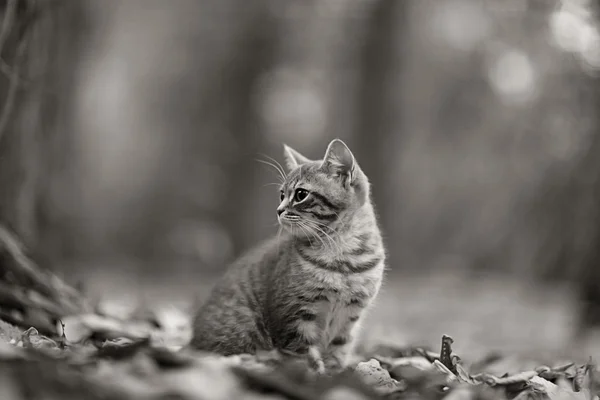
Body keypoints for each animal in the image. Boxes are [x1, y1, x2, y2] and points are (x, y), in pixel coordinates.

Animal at [192, 139, 390, 374]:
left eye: (300, 194)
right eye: (281, 194)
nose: (278, 210)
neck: (342, 258)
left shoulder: (349, 318)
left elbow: (337, 351)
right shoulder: (294, 317)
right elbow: (302, 355)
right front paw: (314, 374)